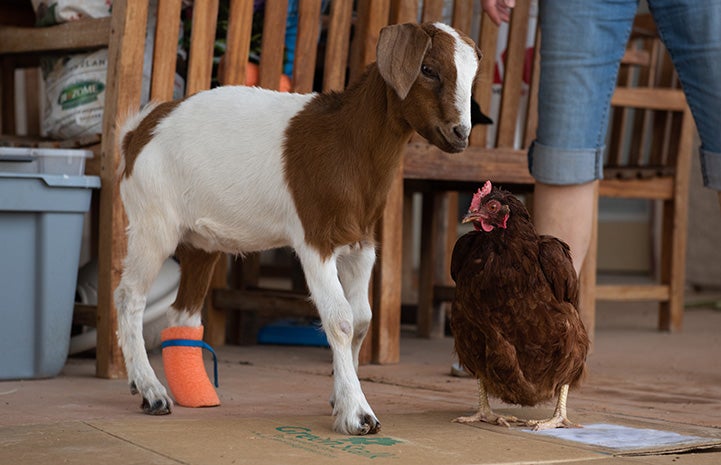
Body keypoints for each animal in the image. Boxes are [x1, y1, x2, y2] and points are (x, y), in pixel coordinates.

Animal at [115, 21, 480, 436]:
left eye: (472, 78)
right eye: (429, 70)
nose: (461, 134)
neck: (347, 143)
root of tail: (137, 132)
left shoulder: (362, 243)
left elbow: (363, 320)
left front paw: (340, 396)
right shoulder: (315, 238)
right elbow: (340, 318)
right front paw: (358, 413)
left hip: (201, 241)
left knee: (182, 312)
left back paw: (193, 393)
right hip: (153, 222)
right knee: (130, 298)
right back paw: (151, 391)